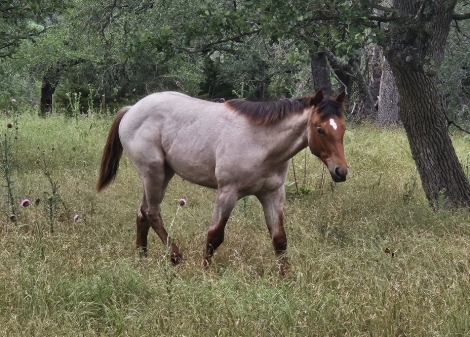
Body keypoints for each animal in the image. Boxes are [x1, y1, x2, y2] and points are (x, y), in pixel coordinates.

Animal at [96, 88, 348, 272]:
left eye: (343, 129)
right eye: (320, 129)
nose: (341, 171)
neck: (261, 143)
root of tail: (131, 109)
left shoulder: (273, 194)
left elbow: (279, 240)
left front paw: (287, 278)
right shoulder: (228, 192)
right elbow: (214, 236)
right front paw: (205, 273)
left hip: (162, 173)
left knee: (142, 213)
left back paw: (142, 258)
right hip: (153, 172)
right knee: (151, 212)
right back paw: (175, 256)